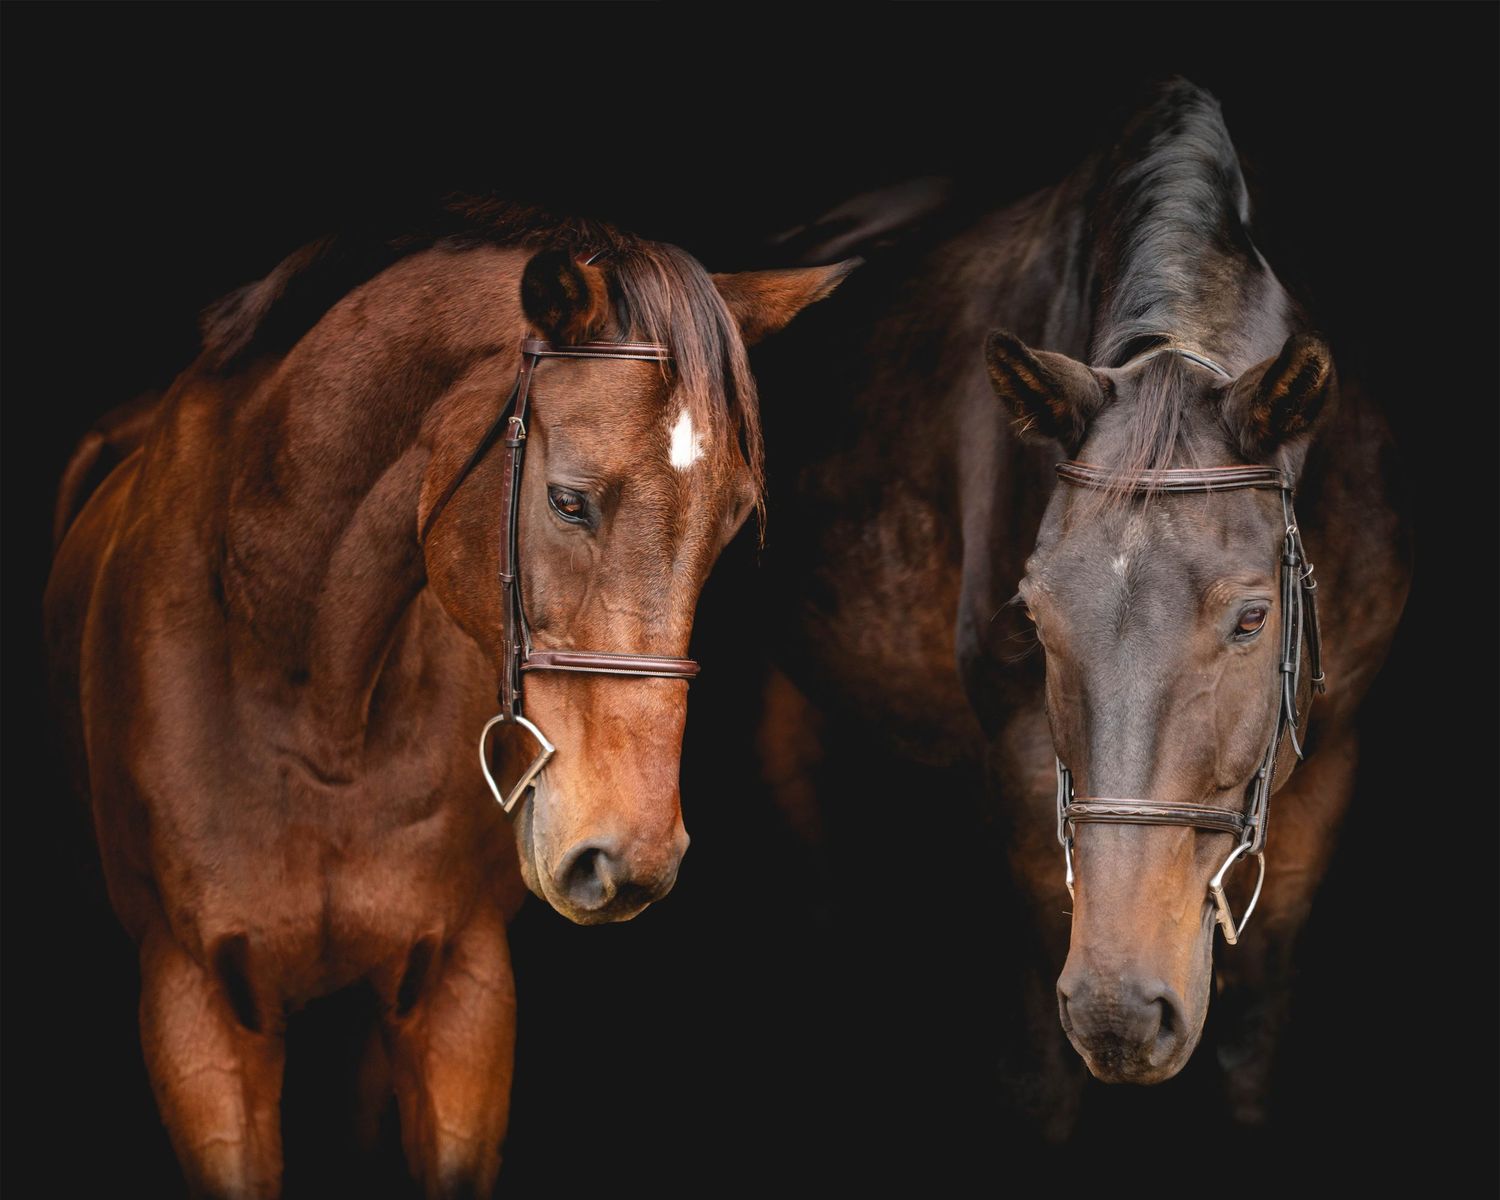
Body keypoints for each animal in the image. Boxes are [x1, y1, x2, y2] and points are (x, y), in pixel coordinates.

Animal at [44, 199, 852, 1197]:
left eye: (732, 521)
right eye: (569, 500)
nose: (627, 861)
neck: (314, 704)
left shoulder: (461, 987)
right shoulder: (193, 1005)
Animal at [750, 80, 1410, 1130]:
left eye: (1252, 618)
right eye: (1036, 616)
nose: (1122, 1015)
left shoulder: (1329, 773)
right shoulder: (1030, 791)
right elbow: (1039, 1075)